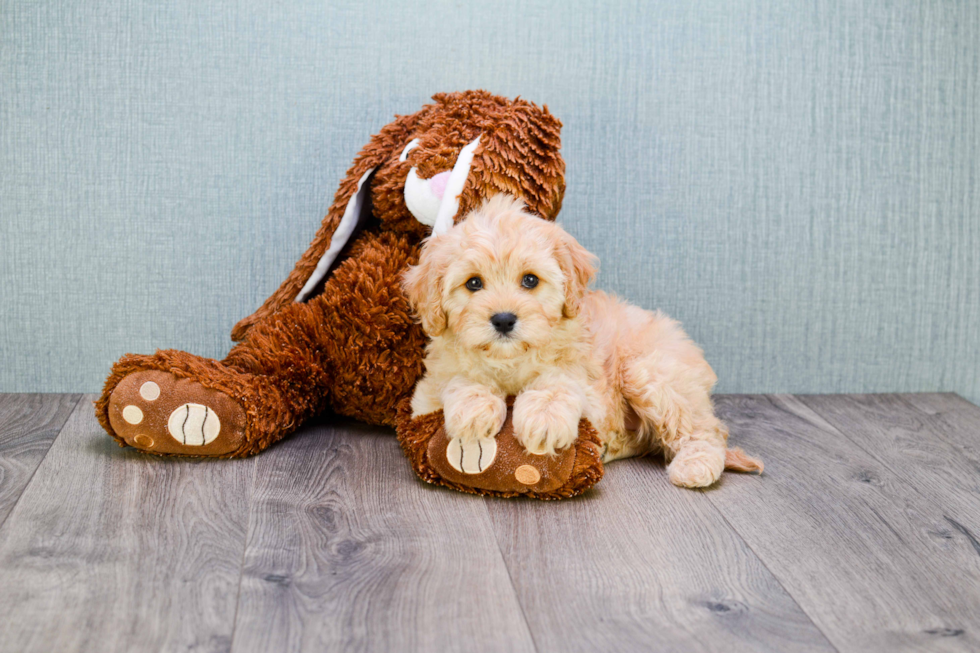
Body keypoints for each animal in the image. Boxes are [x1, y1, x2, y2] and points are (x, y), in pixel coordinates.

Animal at [402, 196, 760, 486]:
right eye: (473, 283)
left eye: (530, 280)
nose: (503, 319)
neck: (511, 360)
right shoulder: (425, 397)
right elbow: (459, 379)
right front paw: (474, 410)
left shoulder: (593, 393)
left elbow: (559, 382)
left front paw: (544, 418)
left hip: (649, 372)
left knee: (707, 431)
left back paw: (694, 466)